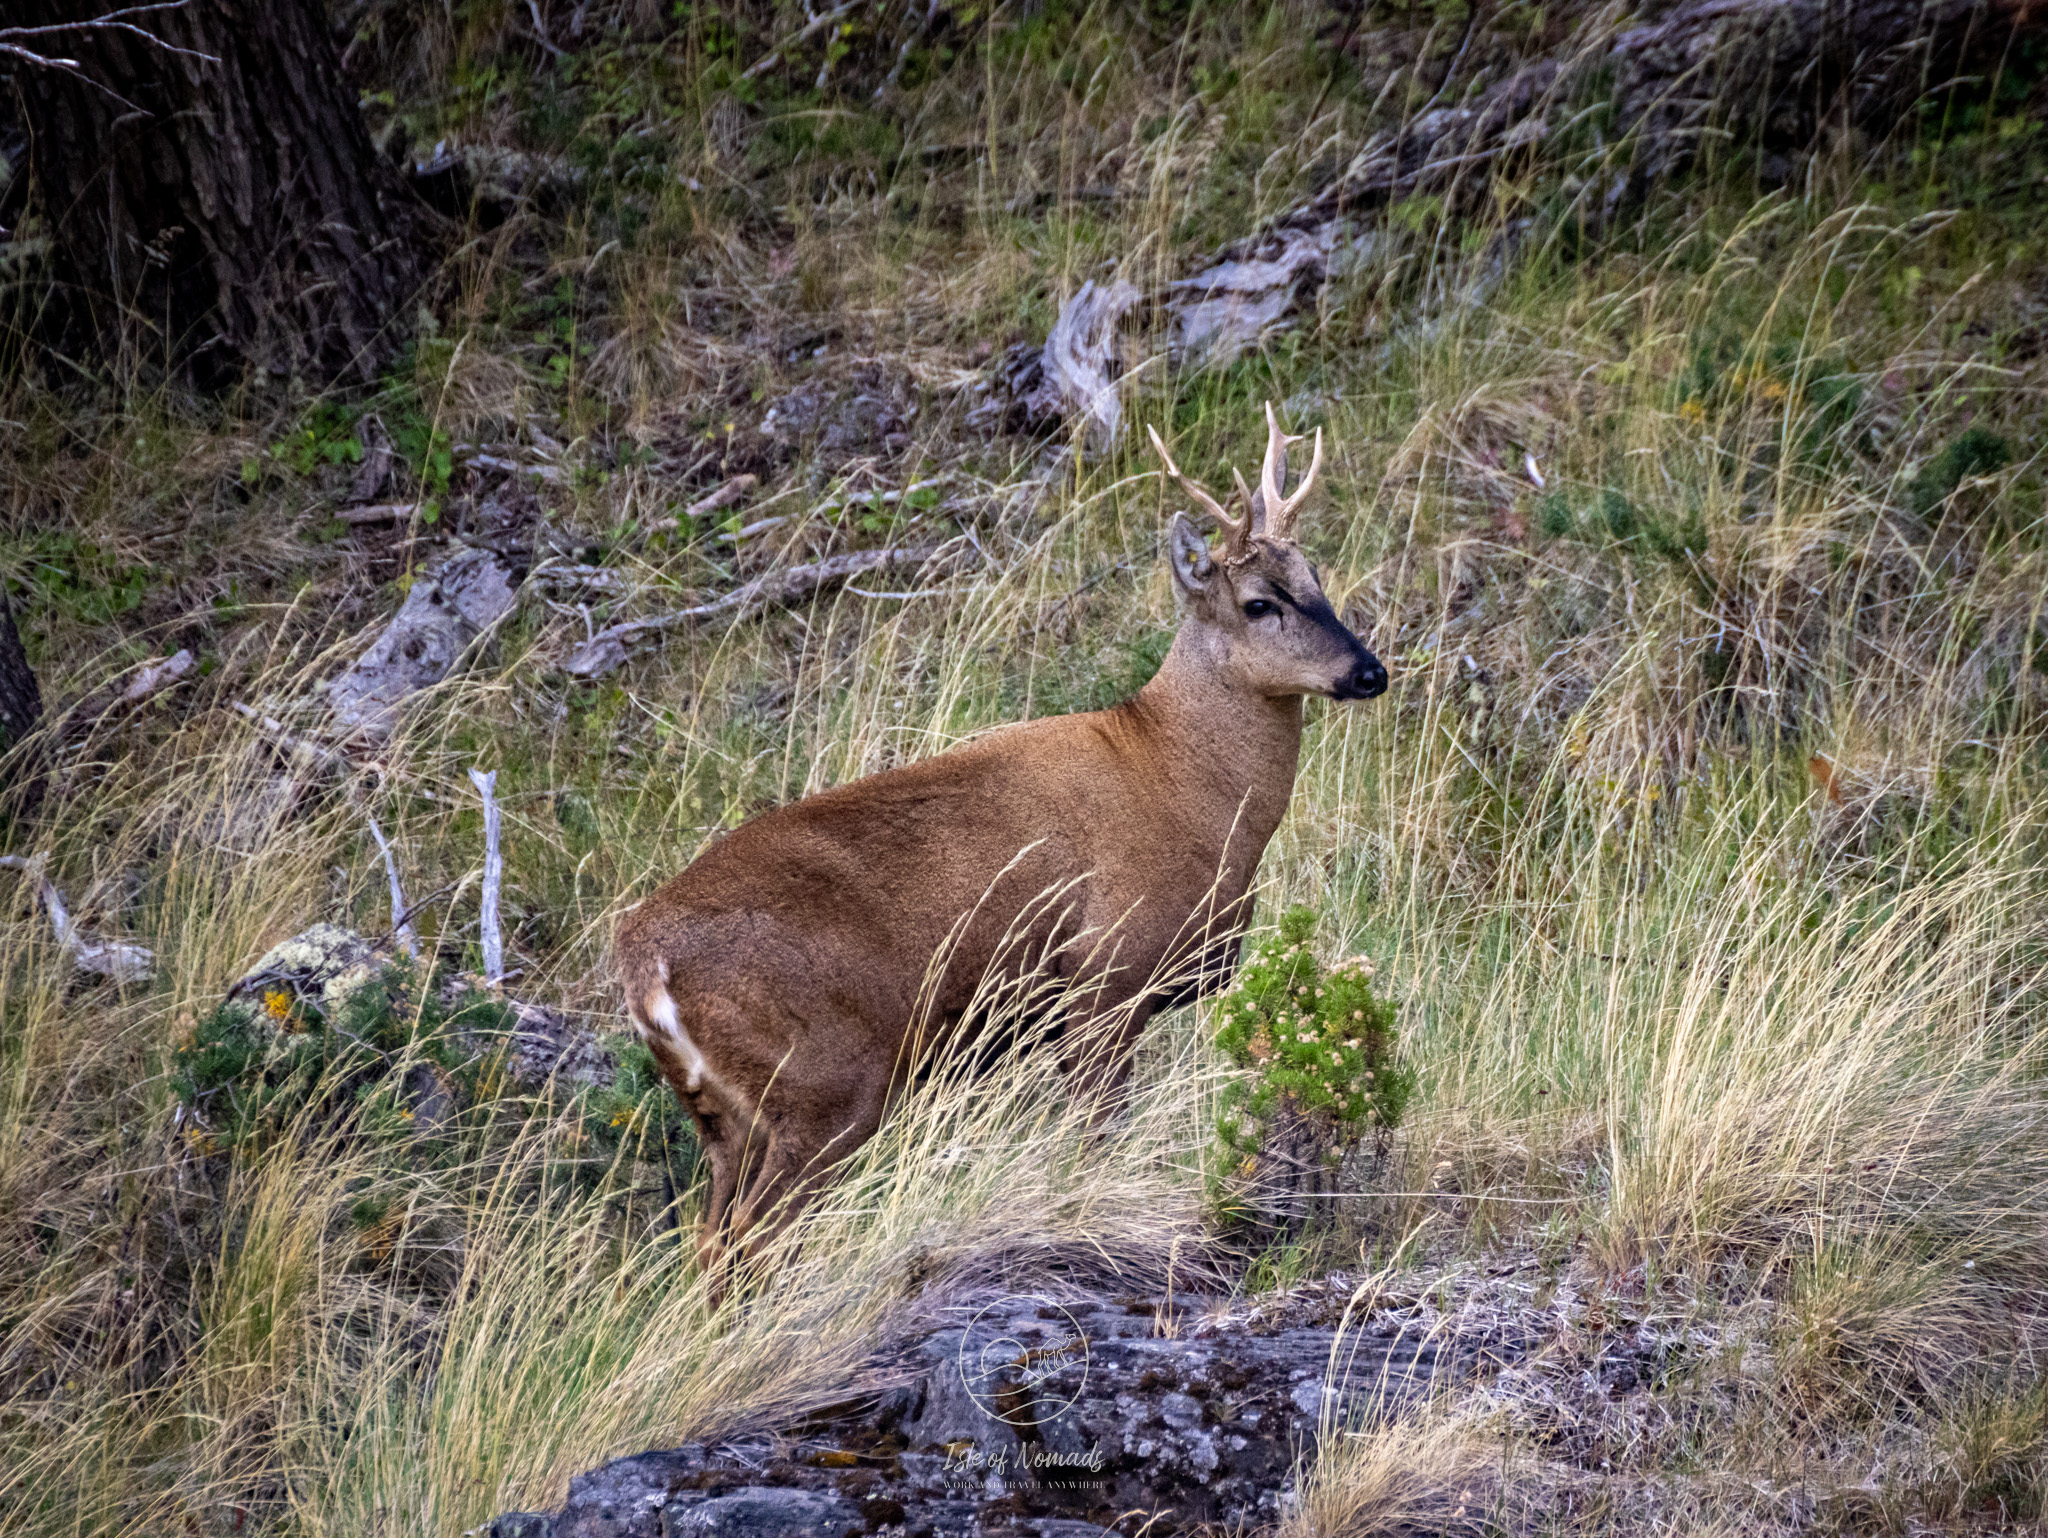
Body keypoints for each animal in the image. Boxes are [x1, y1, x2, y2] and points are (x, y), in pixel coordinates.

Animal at [614, 403, 1384, 1277]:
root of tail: (643, 963)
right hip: (828, 1083)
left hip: (726, 1114)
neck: (1187, 790)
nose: (1369, 671)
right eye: (1259, 602)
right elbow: (1093, 1143)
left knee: (711, 1241)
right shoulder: (1102, 982)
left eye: (1318, 580)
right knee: (754, 1236)